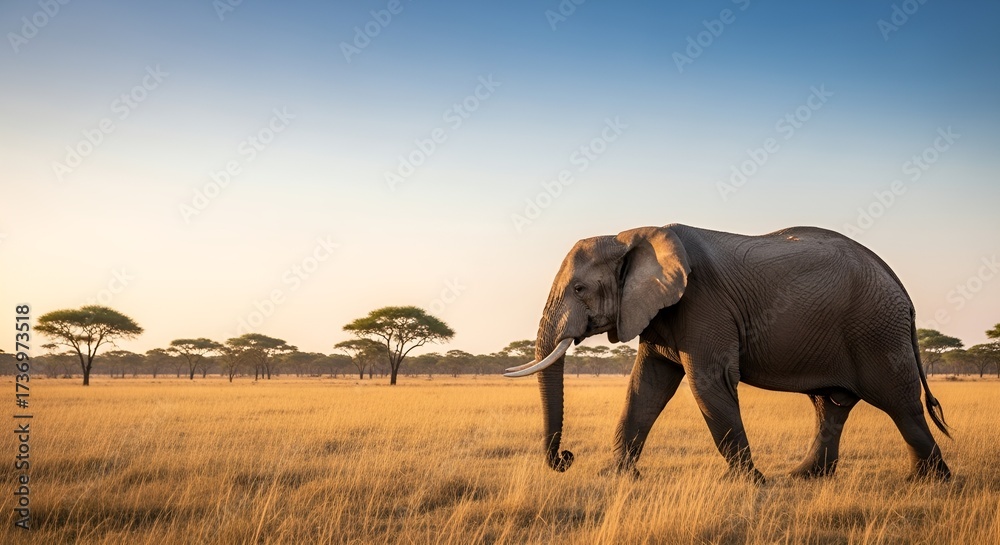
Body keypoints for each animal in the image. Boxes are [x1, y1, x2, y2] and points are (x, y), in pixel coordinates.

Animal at [505, 224, 950, 482]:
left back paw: (930, 481)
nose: (566, 457)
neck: (632, 234)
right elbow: (645, 387)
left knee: (900, 404)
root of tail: (899, 285)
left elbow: (708, 383)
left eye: (579, 289)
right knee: (831, 405)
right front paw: (615, 477)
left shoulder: (703, 303)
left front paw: (750, 484)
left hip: (877, 330)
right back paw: (803, 478)